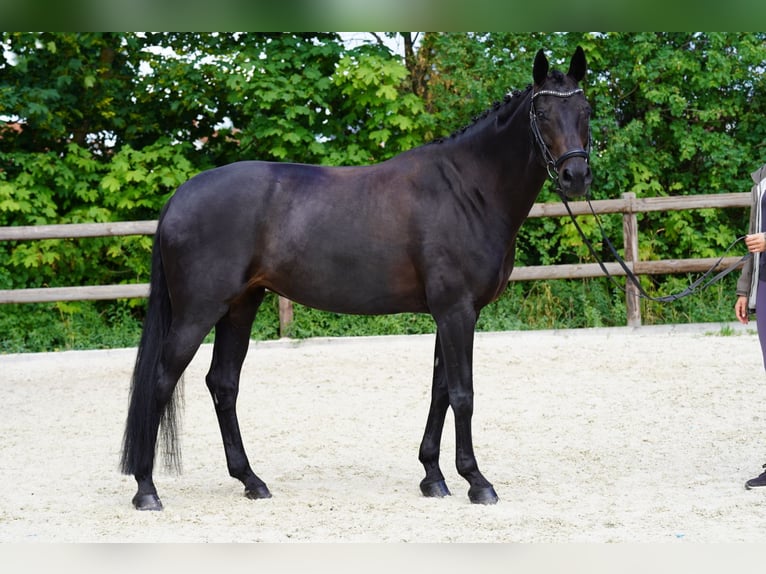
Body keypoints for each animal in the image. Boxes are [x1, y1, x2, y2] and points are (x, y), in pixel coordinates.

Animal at [120, 46, 593, 510]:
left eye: (585, 110)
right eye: (542, 112)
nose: (575, 176)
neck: (466, 190)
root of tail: (181, 195)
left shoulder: (450, 313)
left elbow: (440, 389)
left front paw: (433, 476)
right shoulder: (457, 311)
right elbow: (463, 394)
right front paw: (476, 481)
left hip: (240, 307)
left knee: (223, 383)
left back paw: (251, 480)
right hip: (197, 312)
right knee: (161, 382)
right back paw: (146, 489)